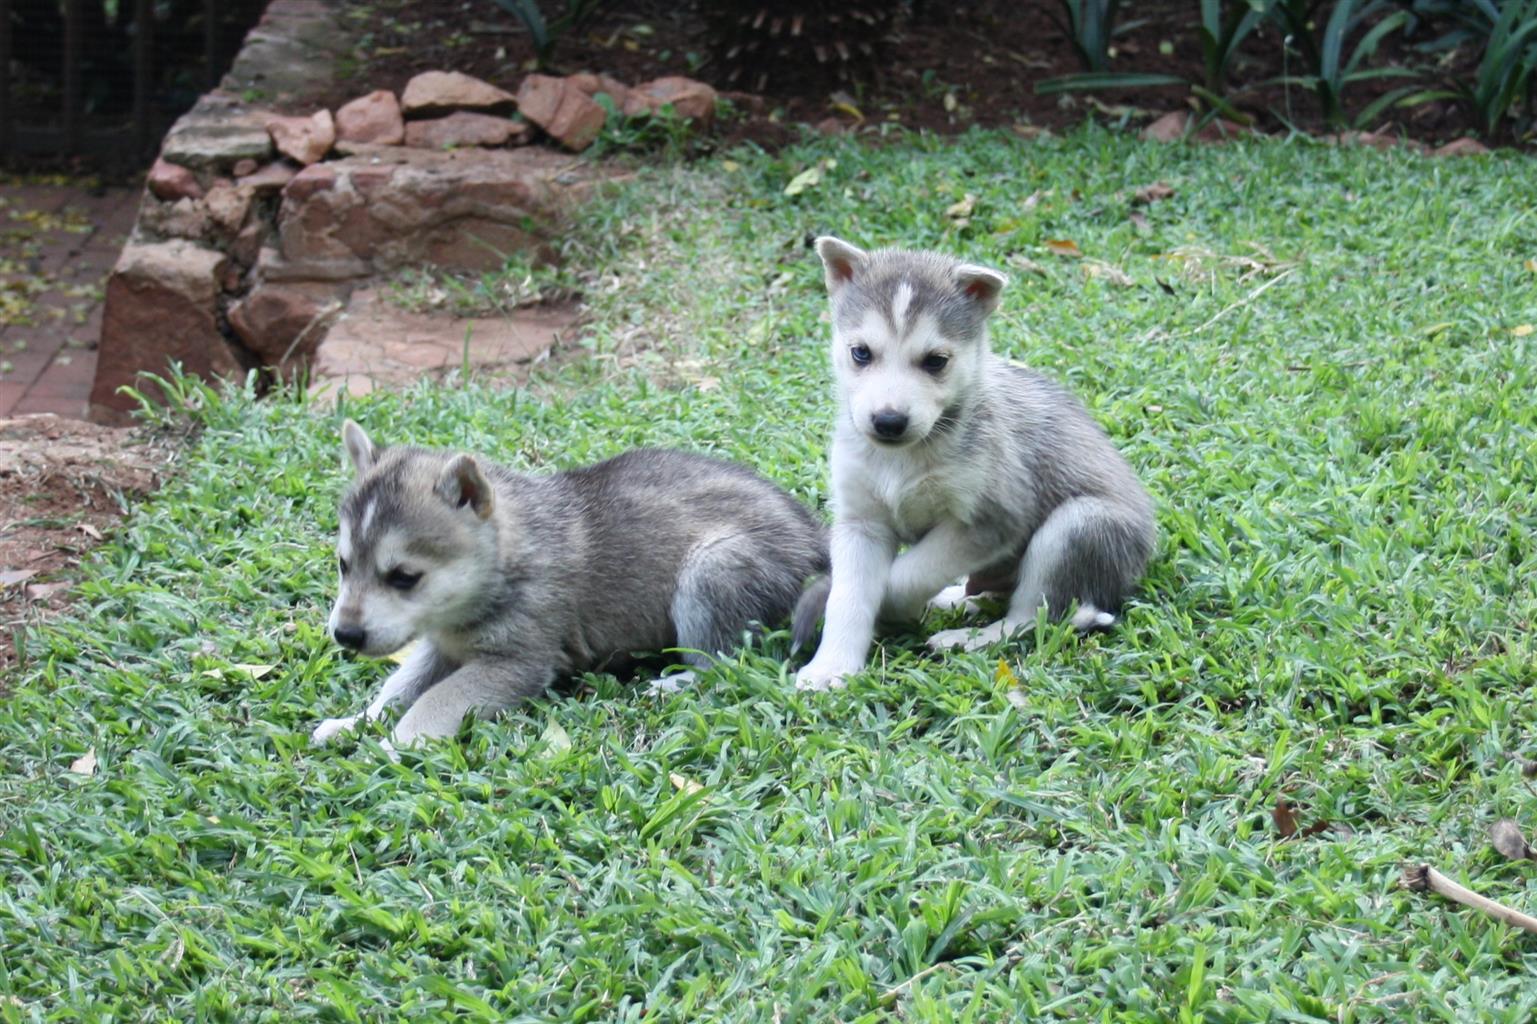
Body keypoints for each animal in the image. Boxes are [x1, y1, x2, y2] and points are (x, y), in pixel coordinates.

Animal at [313, 418, 836, 747]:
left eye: (404, 577)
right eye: (343, 565)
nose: (345, 635)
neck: (505, 562)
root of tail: (815, 539)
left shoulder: (516, 665)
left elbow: (431, 702)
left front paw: (393, 748)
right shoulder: (439, 648)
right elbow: (397, 689)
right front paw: (354, 723)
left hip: (711, 569)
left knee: (722, 664)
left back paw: (674, 683)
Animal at [793, 235, 1155, 688]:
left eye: (935, 361)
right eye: (861, 353)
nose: (888, 422)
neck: (905, 458)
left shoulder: (992, 520)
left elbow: (903, 576)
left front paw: (893, 608)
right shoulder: (861, 523)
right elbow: (849, 596)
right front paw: (831, 666)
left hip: (1078, 526)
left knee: (1030, 617)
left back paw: (966, 638)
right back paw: (952, 600)